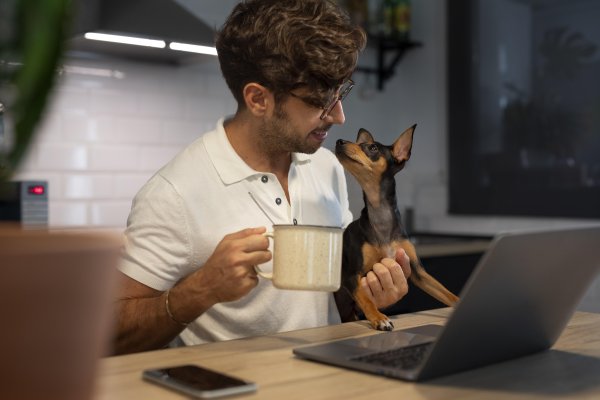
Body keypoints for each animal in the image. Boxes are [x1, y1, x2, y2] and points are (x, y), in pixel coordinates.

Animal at [336, 126, 458, 332]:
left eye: (372, 147)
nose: (339, 141)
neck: (381, 216)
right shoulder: (350, 276)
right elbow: (366, 298)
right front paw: (379, 318)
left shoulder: (418, 271)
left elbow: (445, 292)